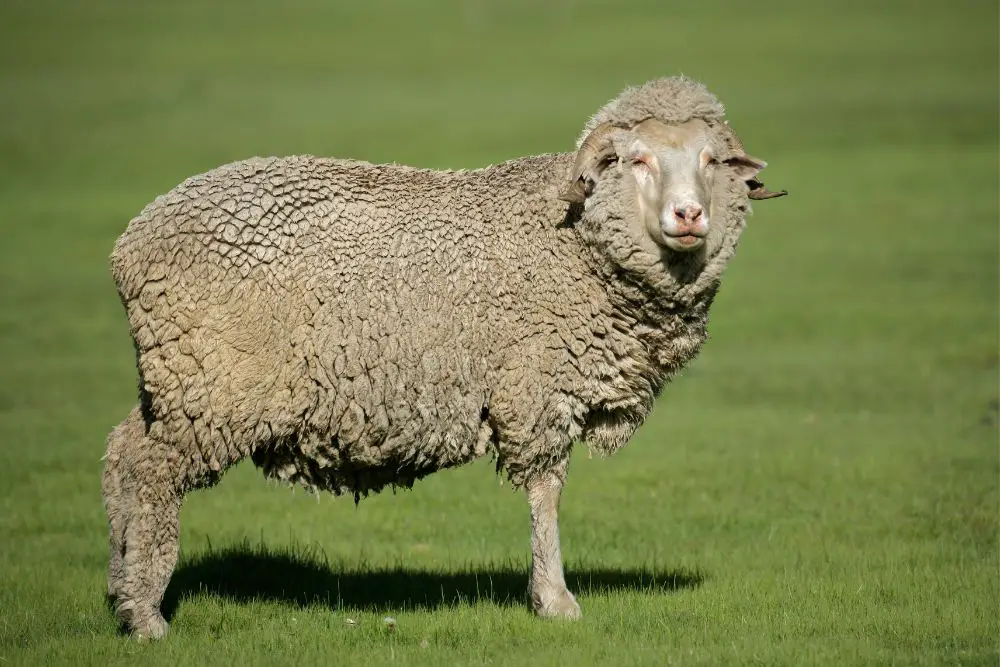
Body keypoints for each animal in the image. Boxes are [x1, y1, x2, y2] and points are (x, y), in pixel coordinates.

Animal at [103, 75, 788, 640]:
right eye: (637, 159)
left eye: (711, 161)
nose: (689, 214)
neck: (576, 241)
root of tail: (132, 242)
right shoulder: (536, 385)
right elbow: (546, 491)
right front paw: (555, 600)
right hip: (210, 386)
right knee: (153, 475)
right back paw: (147, 615)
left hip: (173, 378)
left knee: (121, 455)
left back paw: (121, 586)